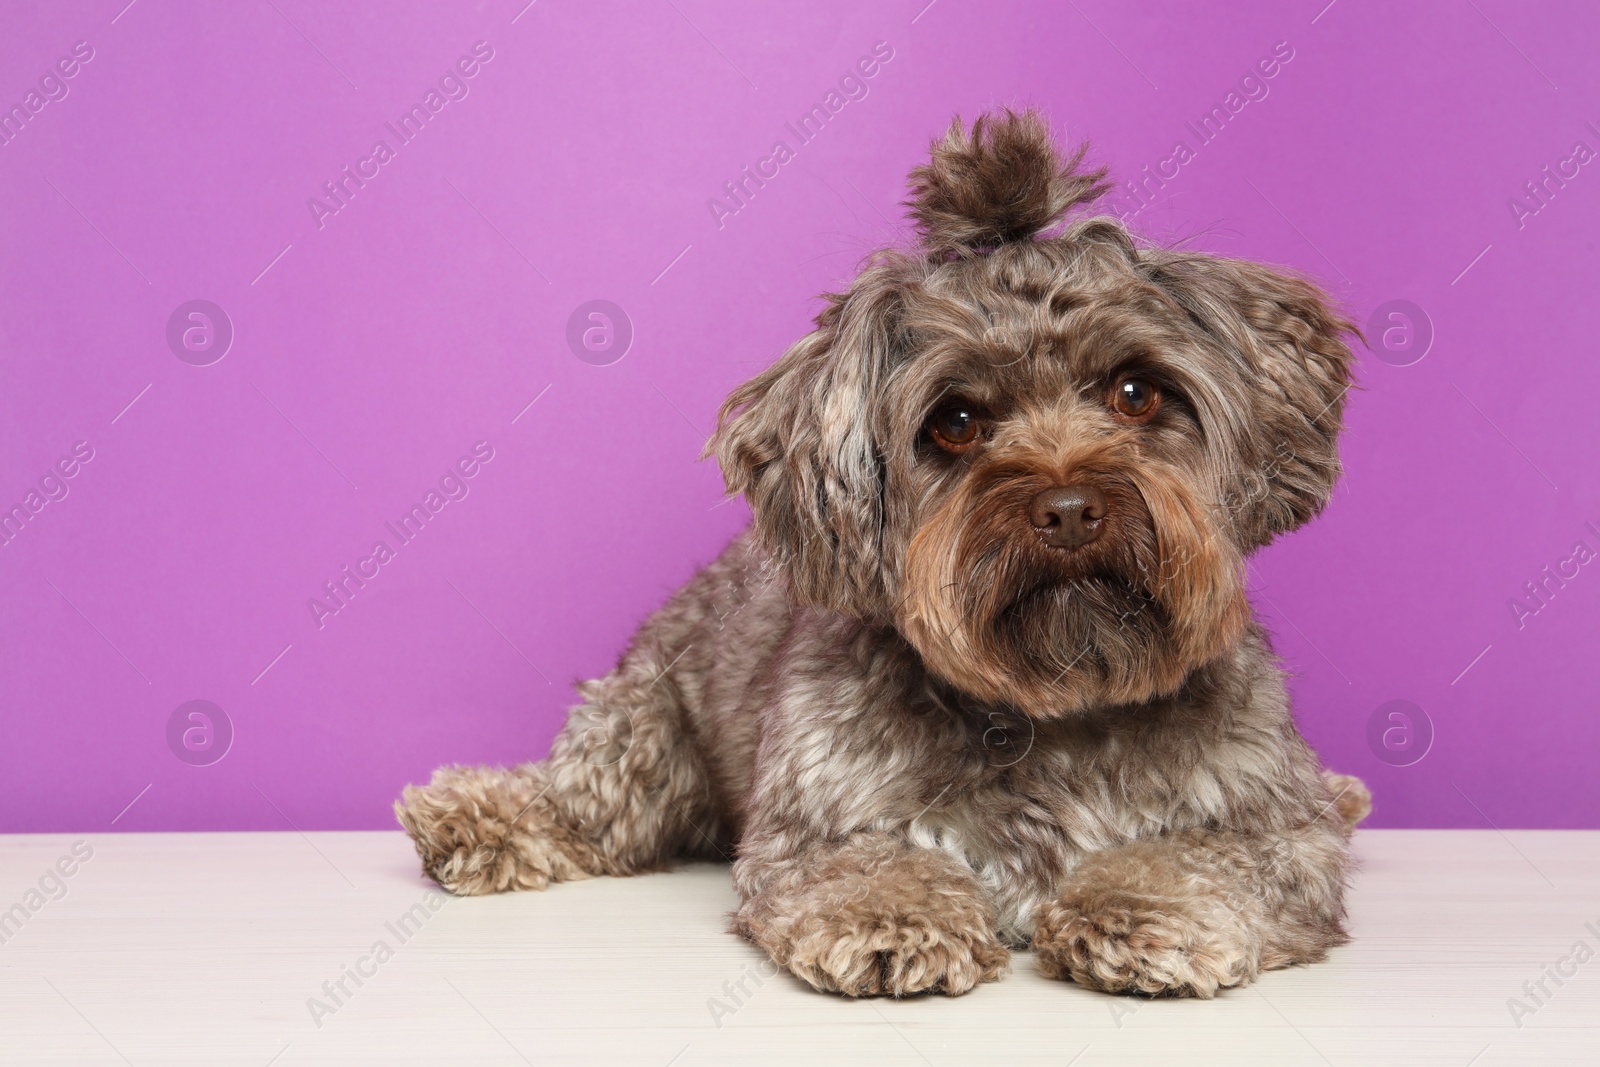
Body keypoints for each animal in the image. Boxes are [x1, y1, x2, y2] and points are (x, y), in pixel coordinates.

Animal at [393, 110, 1369, 1004]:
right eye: (956, 420)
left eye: (1136, 391)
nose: (1066, 509)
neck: (1053, 710)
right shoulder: (821, 818)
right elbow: (867, 864)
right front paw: (895, 917)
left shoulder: (1277, 825)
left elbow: (1205, 855)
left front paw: (1141, 906)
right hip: (645, 734)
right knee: (588, 802)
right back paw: (472, 814)